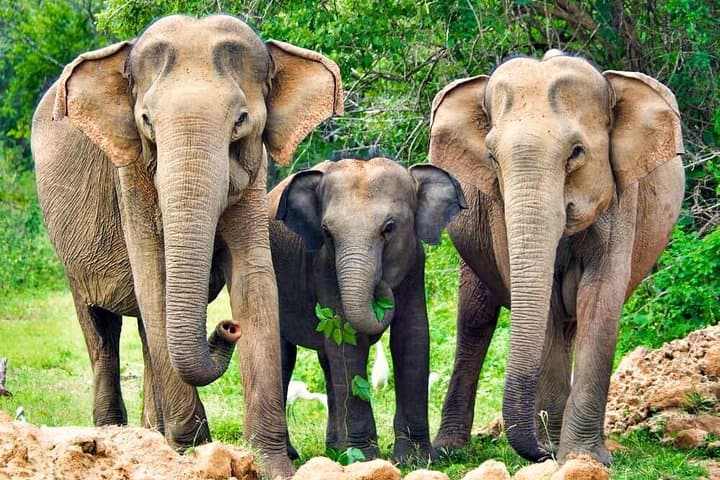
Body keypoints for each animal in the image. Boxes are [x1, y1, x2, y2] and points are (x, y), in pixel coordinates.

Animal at [31, 14, 343, 478]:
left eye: (241, 120)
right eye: (146, 121)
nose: (227, 327)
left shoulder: (254, 176)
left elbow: (255, 280)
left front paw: (271, 463)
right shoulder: (131, 177)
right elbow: (153, 278)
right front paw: (193, 452)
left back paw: (151, 435)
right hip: (71, 254)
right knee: (101, 329)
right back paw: (112, 437)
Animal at [267, 157, 467, 462]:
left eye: (389, 228)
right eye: (327, 232)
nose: (381, 286)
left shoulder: (415, 263)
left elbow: (412, 336)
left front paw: (415, 459)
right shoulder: (324, 267)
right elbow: (347, 340)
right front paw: (365, 458)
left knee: (327, 363)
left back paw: (335, 449)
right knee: (285, 355)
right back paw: (297, 454)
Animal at [427, 50, 685, 465]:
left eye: (576, 152)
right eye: (491, 157)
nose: (542, 450)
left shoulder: (622, 197)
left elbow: (600, 297)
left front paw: (583, 457)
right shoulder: (498, 211)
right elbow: (543, 303)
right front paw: (558, 451)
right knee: (475, 320)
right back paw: (449, 450)